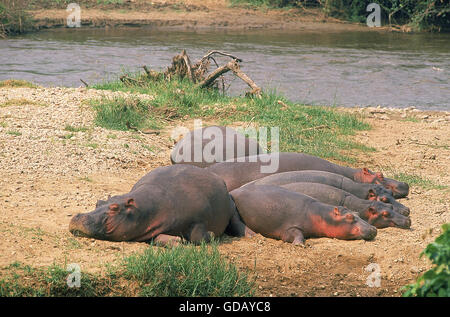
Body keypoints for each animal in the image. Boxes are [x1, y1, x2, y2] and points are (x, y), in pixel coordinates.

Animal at [68, 164, 236, 243]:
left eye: (114, 208)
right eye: (98, 202)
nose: (78, 216)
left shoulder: (199, 217)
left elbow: (198, 236)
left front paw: (212, 234)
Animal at [229, 184, 376, 243]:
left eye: (357, 213)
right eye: (349, 217)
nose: (373, 229)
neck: (322, 214)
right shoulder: (289, 228)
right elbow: (297, 234)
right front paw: (299, 244)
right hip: (235, 211)